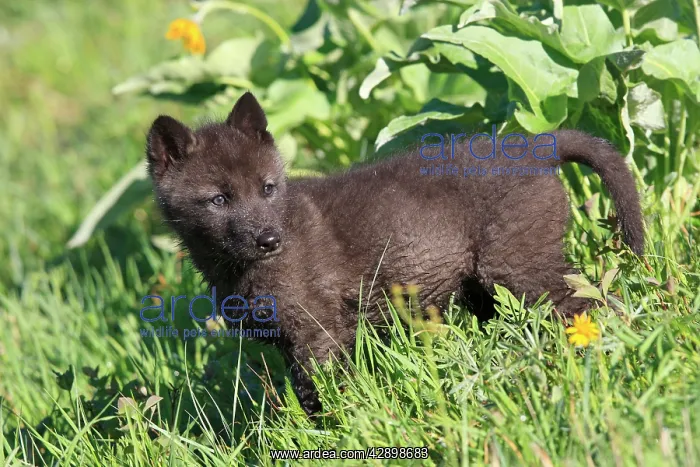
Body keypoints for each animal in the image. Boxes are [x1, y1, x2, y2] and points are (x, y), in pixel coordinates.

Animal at [146, 92, 644, 414]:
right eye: (218, 200)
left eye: (268, 189)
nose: (270, 240)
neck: (237, 271)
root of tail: (535, 150)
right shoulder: (294, 341)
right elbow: (306, 394)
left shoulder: (318, 332)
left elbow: (325, 393)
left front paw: (341, 429)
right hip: (487, 288)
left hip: (517, 267)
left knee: (590, 304)